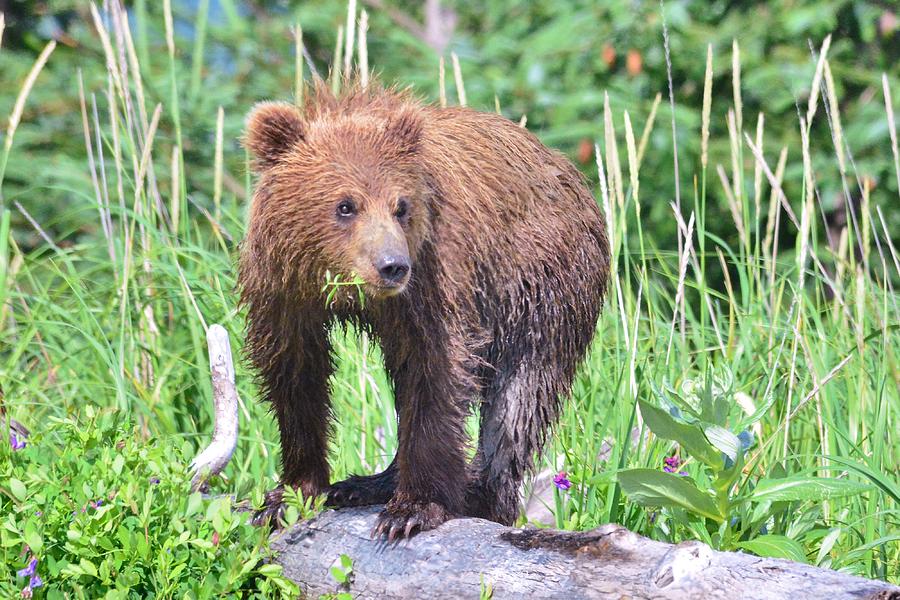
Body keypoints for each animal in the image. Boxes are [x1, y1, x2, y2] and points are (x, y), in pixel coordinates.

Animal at [239, 79, 608, 540]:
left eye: (401, 206)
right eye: (345, 205)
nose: (393, 265)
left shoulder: (434, 283)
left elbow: (435, 375)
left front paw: (413, 509)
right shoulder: (285, 293)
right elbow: (296, 376)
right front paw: (287, 494)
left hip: (547, 281)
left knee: (522, 394)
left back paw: (483, 495)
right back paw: (367, 483)